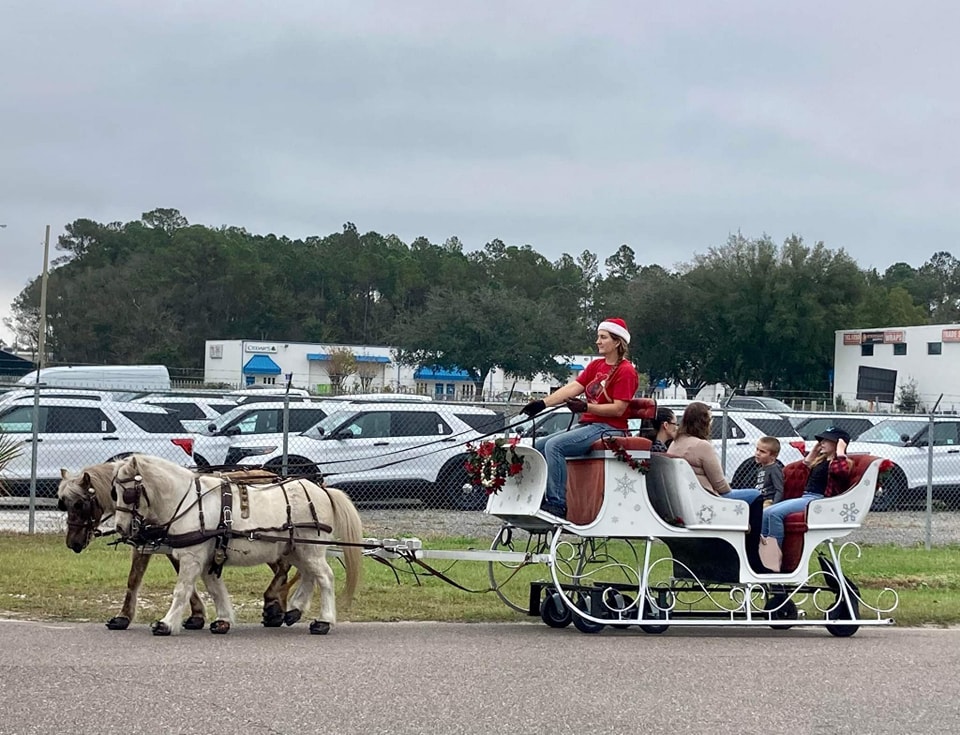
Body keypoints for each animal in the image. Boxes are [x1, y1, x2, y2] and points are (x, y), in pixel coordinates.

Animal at [59, 462, 292, 628]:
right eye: (64, 505)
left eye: (80, 504)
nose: (73, 543)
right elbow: (141, 578)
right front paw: (196, 615)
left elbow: (139, 579)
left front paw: (124, 617)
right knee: (284, 568)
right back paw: (279, 608)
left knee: (284, 567)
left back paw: (277, 607)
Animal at [111, 452, 364, 636]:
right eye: (114, 492)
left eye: (129, 493)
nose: (121, 527)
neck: (189, 500)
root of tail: (323, 490)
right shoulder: (207, 558)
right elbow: (215, 589)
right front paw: (223, 619)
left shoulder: (192, 557)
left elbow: (181, 589)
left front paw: (166, 623)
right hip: (295, 548)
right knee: (308, 575)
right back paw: (294, 610)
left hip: (310, 548)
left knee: (325, 577)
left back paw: (323, 621)